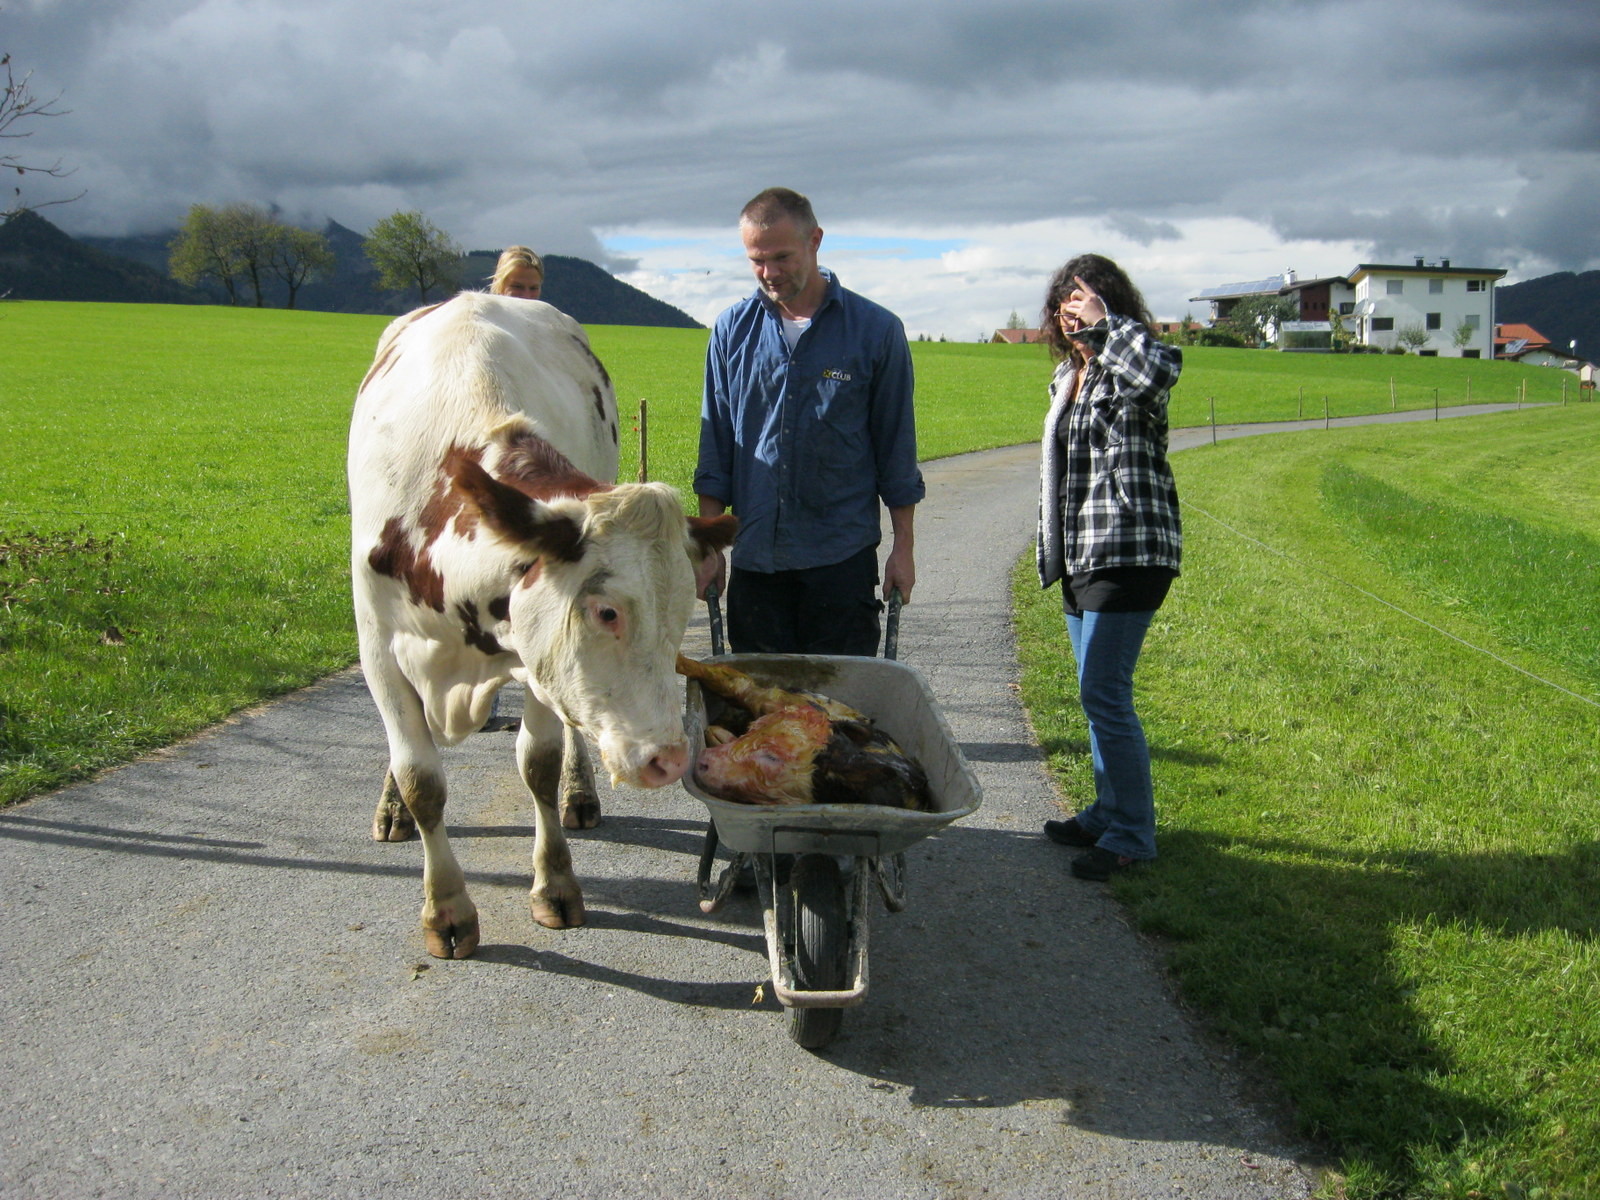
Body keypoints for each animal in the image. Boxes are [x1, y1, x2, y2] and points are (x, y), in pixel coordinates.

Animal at [350, 291, 736, 960]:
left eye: (680, 614)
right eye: (606, 611)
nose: (667, 758)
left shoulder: (535, 650)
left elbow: (539, 763)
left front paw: (554, 885)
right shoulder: (375, 639)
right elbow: (420, 776)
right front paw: (446, 909)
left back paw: (579, 794)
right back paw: (391, 808)